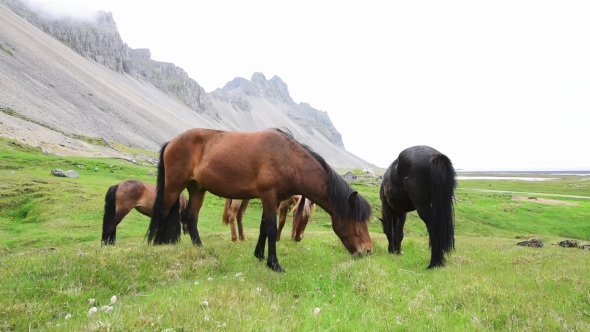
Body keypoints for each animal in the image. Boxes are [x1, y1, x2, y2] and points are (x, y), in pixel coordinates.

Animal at [146, 127, 372, 272]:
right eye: (356, 220)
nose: (368, 251)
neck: (287, 158)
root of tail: (172, 142)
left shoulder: (271, 199)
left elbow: (264, 227)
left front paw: (260, 255)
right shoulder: (269, 196)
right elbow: (271, 228)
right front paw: (274, 264)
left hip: (197, 189)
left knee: (191, 217)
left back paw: (200, 249)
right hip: (174, 185)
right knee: (163, 211)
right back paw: (156, 244)